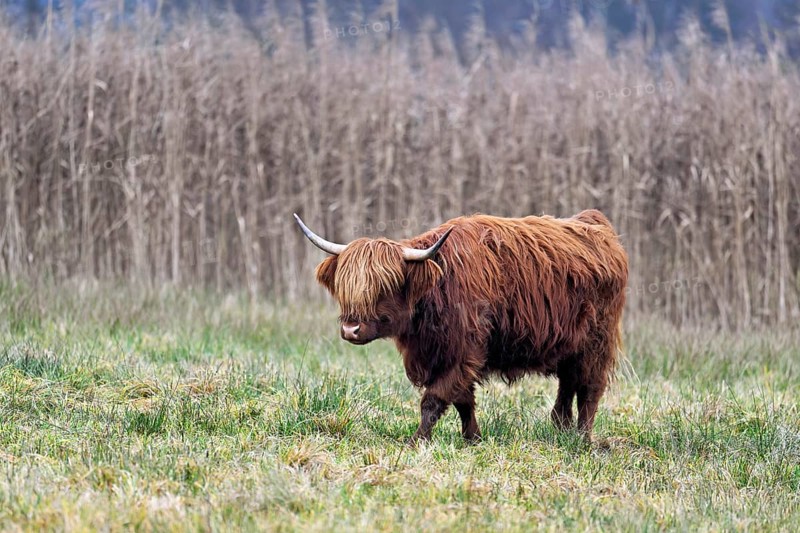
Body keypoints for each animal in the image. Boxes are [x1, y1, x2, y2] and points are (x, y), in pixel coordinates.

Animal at [294, 210, 628, 443]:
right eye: (346, 286)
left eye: (385, 286)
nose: (351, 330)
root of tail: (597, 225)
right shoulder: (444, 354)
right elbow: (463, 400)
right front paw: (472, 438)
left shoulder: (463, 352)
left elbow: (435, 399)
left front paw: (417, 440)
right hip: (569, 347)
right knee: (568, 385)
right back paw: (561, 428)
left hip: (596, 343)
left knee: (589, 389)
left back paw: (581, 439)